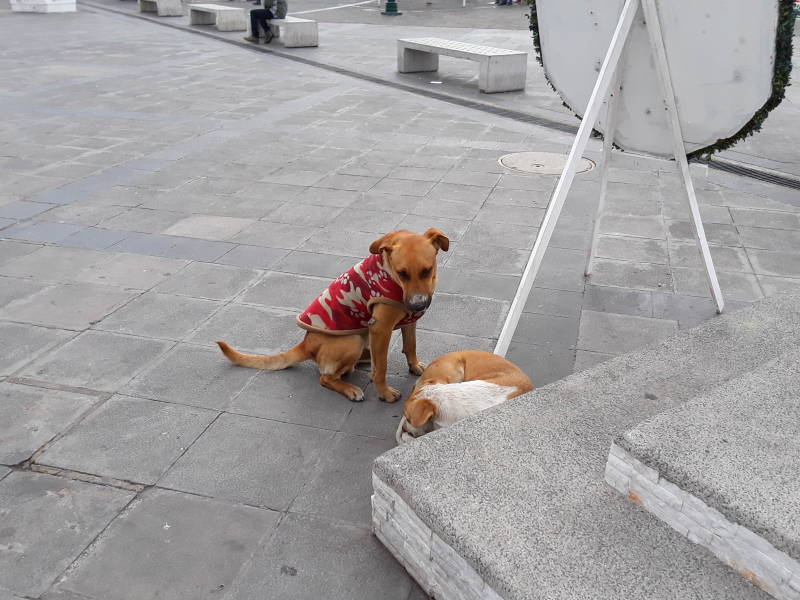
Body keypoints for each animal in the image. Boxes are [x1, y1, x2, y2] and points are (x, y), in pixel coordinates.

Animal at [216, 230, 446, 404]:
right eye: (402, 273)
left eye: (427, 271)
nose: (417, 304)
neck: (388, 273)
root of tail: (306, 344)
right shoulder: (381, 327)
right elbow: (381, 368)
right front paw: (385, 393)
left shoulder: (409, 321)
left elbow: (410, 345)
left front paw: (414, 366)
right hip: (351, 340)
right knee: (326, 377)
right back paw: (350, 388)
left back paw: (365, 358)